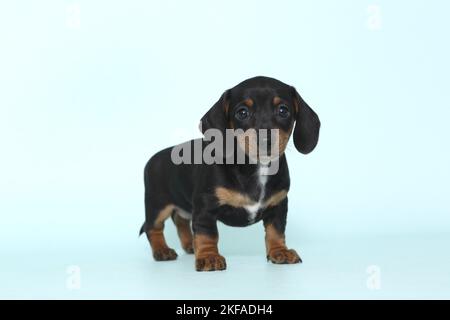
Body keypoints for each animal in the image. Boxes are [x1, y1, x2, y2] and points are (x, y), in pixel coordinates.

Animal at [141, 76, 320, 272]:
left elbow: (276, 231)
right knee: (153, 228)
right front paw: (209, 257)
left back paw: (190, 245)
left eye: (283, 110)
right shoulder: (205, 208)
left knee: (180, 221)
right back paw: (162, 250)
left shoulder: (278, 205)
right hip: (157, 205)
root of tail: (154, 159)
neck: (255, 167)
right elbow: (207, 234)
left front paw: (280, 252)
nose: (266, 140)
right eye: (242, 113)